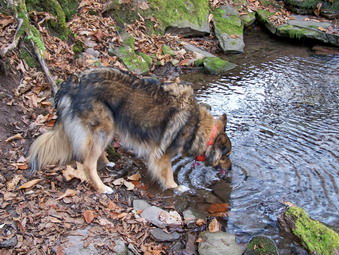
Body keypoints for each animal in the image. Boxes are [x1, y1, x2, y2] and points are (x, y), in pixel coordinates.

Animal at [29, 67, 232, 193]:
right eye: (226, 156)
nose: (230, 169)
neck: (197, 124)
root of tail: (75, 84)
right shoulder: (163, 156)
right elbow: (168, 174)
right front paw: (176, 187)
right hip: (105, 128)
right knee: (88, 164)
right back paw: (102, 188)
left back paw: (107, 162)